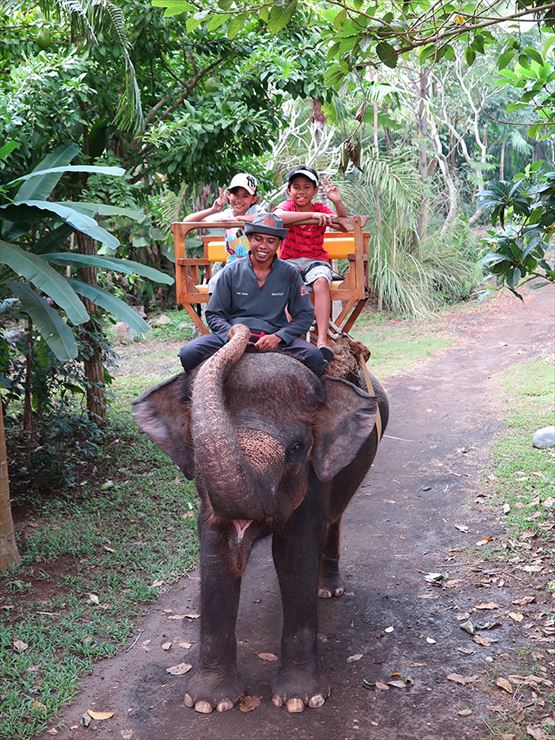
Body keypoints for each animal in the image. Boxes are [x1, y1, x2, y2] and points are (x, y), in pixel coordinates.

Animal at [132, 326, 388, 716]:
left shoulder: (313, 481)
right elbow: (216, 554)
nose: (241, 332)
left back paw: (327, 589)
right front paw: (208, 703)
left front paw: (300, 701)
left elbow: (294, 554)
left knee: (334, 519)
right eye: (194, 445)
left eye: (296, 449)